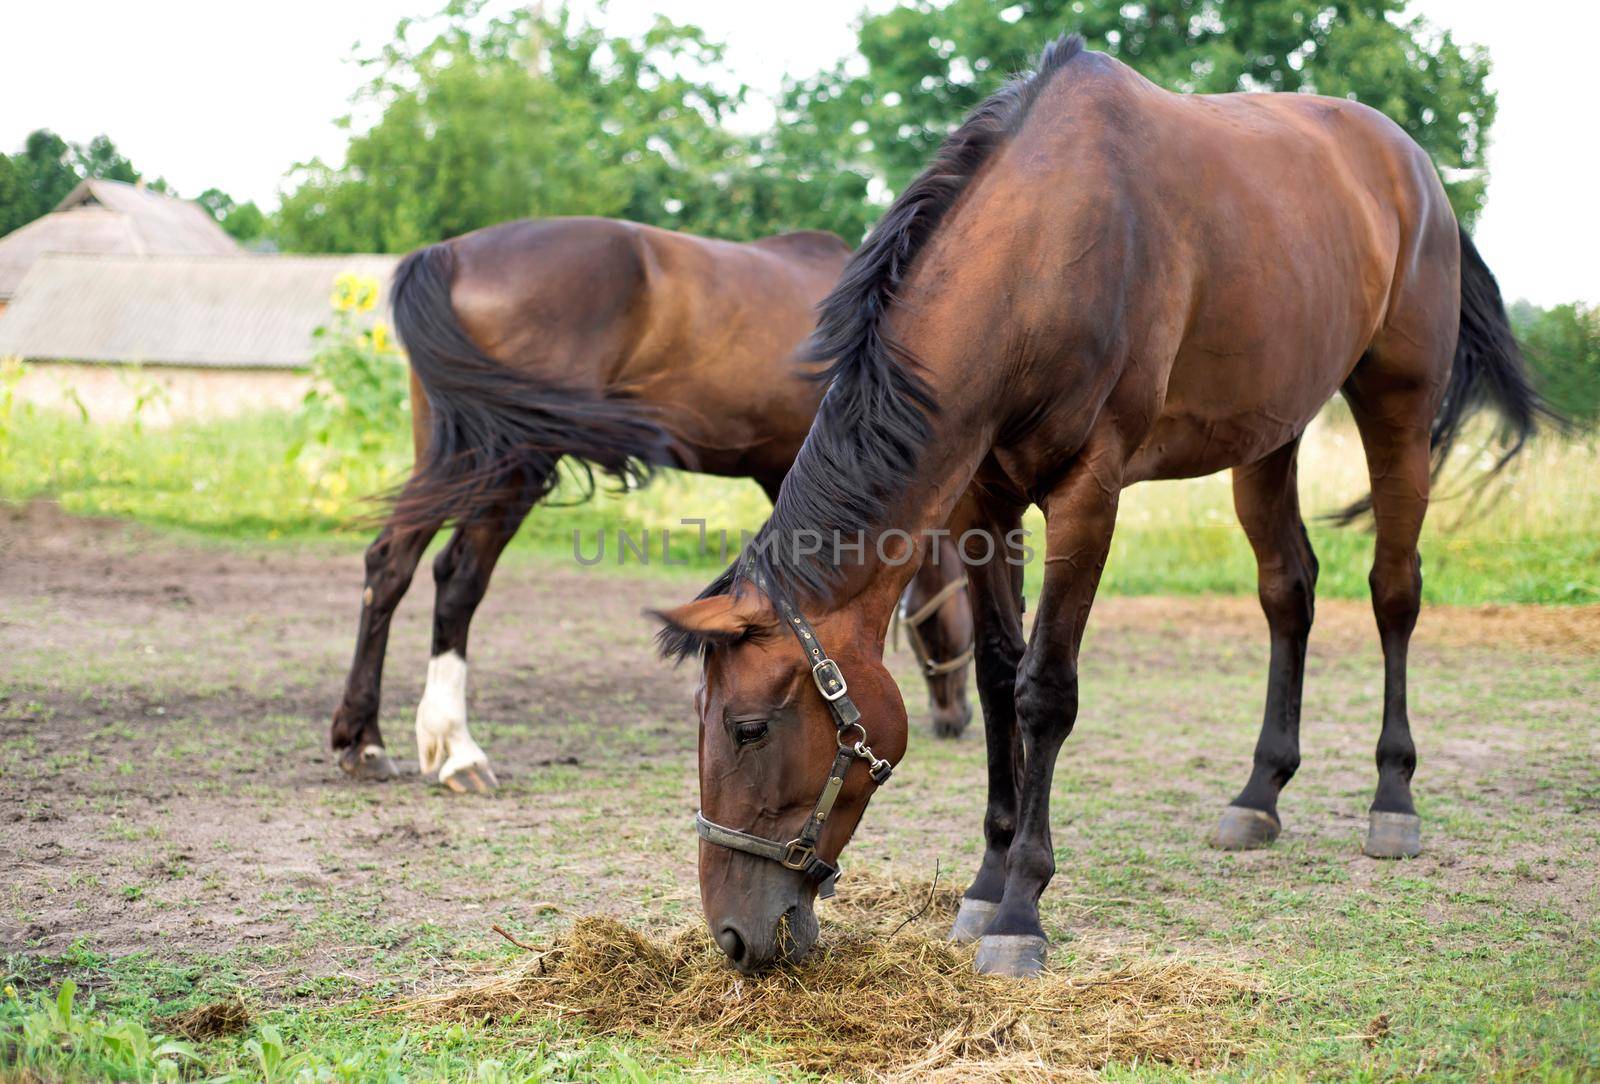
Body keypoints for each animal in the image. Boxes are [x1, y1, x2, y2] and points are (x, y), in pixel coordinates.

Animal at [326, 215, 972, 793]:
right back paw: (458, 749)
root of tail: (450, 254)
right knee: (458, 578)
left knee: (391, 562)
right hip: (512, 459)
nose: (956, 718)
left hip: (455, 452)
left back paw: (363, 740)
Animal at [652, 38, 1548, 978]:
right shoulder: (983, 503)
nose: (734, 935)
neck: (1043, 253)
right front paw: (984, 881)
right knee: (1288, 591)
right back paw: (1259, 793)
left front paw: (1020, 909)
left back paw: (1393, 797)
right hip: (1268, 437)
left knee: (1393, 590)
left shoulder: (1089, 493)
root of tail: (1418, 172)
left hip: (1398, 408)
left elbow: (1046, 688)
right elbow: (998, 677)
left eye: (749, 729)